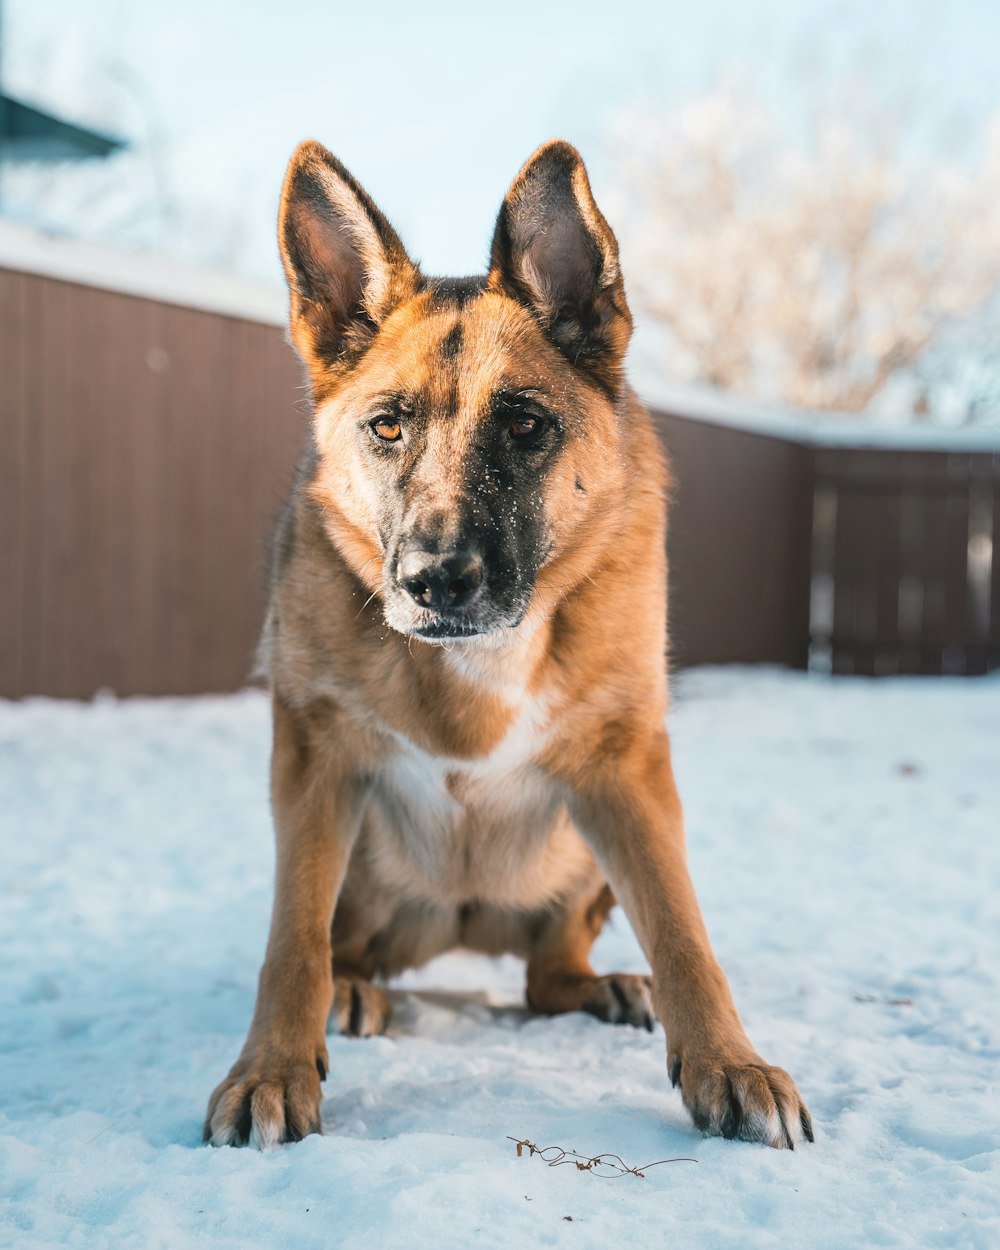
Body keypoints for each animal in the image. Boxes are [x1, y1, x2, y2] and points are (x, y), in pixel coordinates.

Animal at [201, 139, 810, 1150]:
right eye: (386, 425)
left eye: (525, 423)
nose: (435, 581)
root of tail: (461, 924)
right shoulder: (316, 763)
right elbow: (292, 943)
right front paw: (270, 1072)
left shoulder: (629, 768)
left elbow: (684, 932)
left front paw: (730, 1065)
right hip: (360, 854)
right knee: (342, 947)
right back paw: (354, 992)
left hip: (583, 848)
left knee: (546, 976)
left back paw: (603, 986)